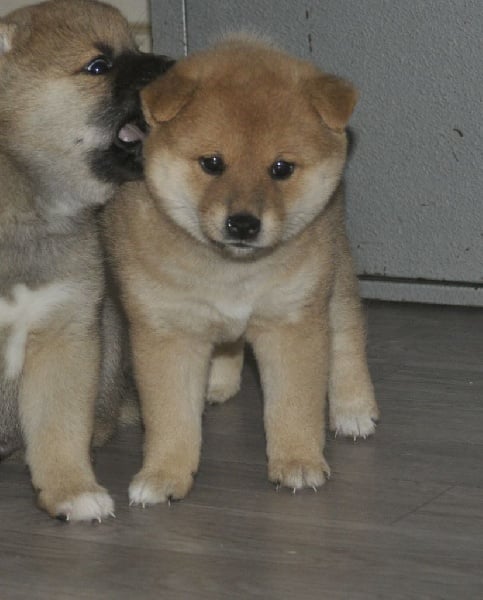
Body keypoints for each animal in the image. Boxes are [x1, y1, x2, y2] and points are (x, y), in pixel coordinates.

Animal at [0, 0, 172, 520]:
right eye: (98, 66)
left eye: (135, 46)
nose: (173, 66)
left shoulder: (66, 332)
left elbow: (59, 430)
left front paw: (70, 490)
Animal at [104, 36, 379, 506]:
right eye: (212, 163)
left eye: (281, 168)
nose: (244, 223)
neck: (231, 272)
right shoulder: (168, 332)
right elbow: (170, 416)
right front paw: (164, 474)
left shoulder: (292, 322)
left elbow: (293, 404)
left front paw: (297, 461)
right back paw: (217, 384)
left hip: (335, 275)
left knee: (347, 337)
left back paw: (354, 408)